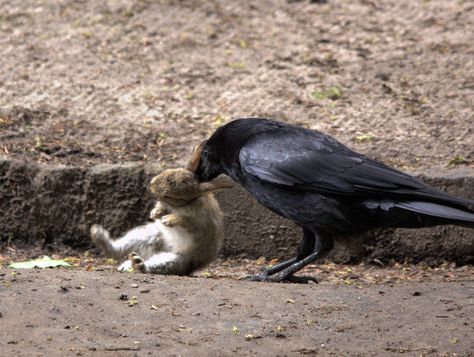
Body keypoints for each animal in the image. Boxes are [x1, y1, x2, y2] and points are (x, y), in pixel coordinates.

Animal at [90, 168, 232, 276]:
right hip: (146, 235)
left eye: (170, 193)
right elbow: (161, 209)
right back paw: (98, 234)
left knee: (150, 266)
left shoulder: (198, 221)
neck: (182, 204)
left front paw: (168, 220)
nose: (150, 185)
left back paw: (137, 264)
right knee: (117, 250)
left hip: (176, 260)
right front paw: (155, 214)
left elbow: (185, 221)